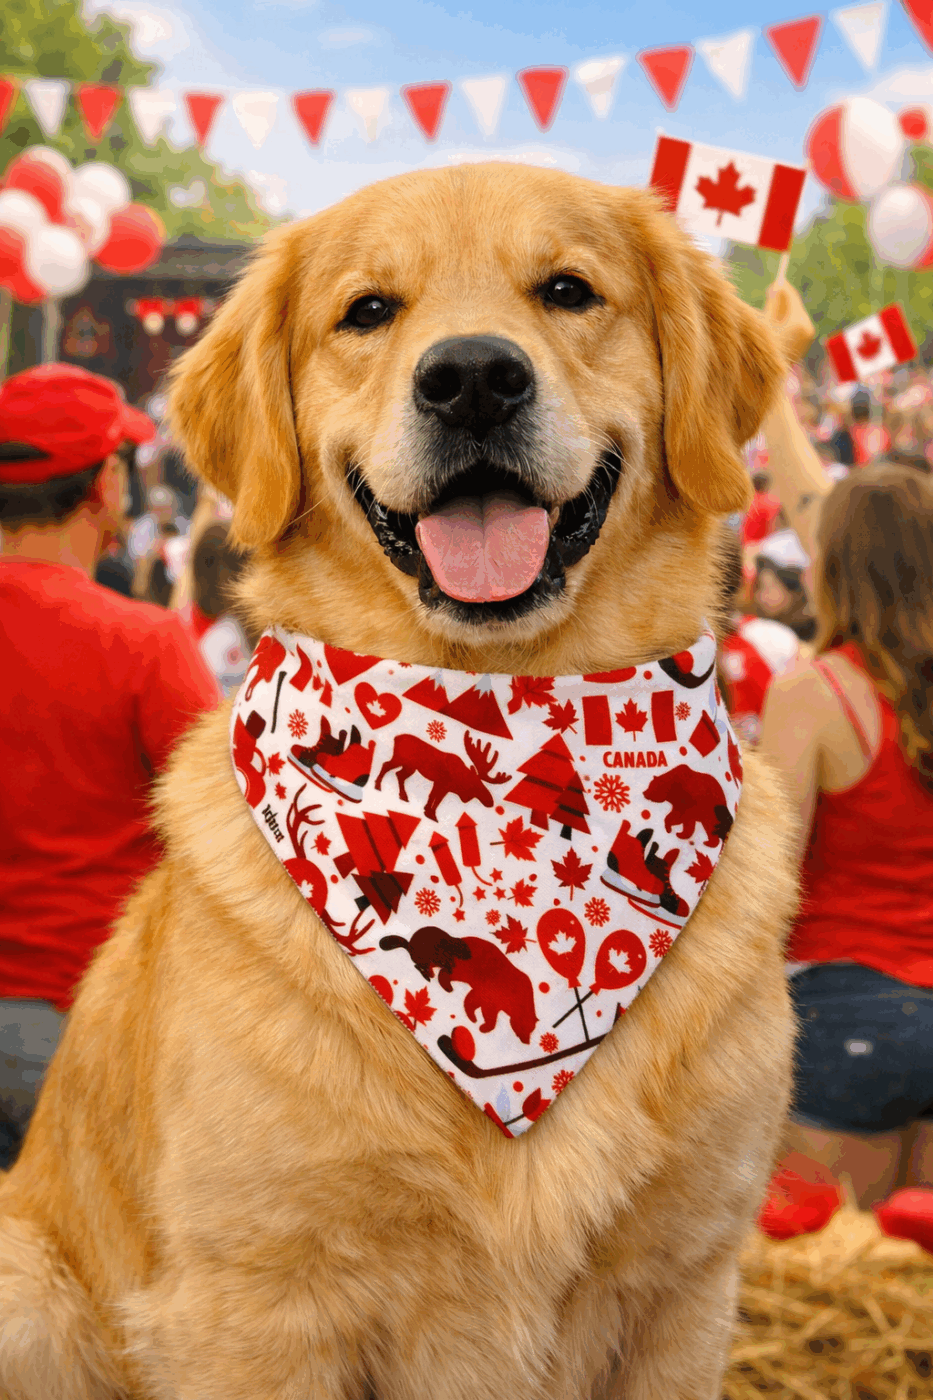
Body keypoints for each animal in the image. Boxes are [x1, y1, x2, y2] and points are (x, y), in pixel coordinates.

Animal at [374, 731, 510, 822]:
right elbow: (435, 798)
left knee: (399, 775)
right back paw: (378, 786)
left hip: (410, 767)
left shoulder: (443, 786)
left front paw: (427, 811)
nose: (490, 801)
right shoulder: (442, 783)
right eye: (476, 783)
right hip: (400, 759)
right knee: (386, 765)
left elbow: (434, 798)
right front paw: (431, 814)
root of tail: (396, 737)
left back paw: (403, 796)